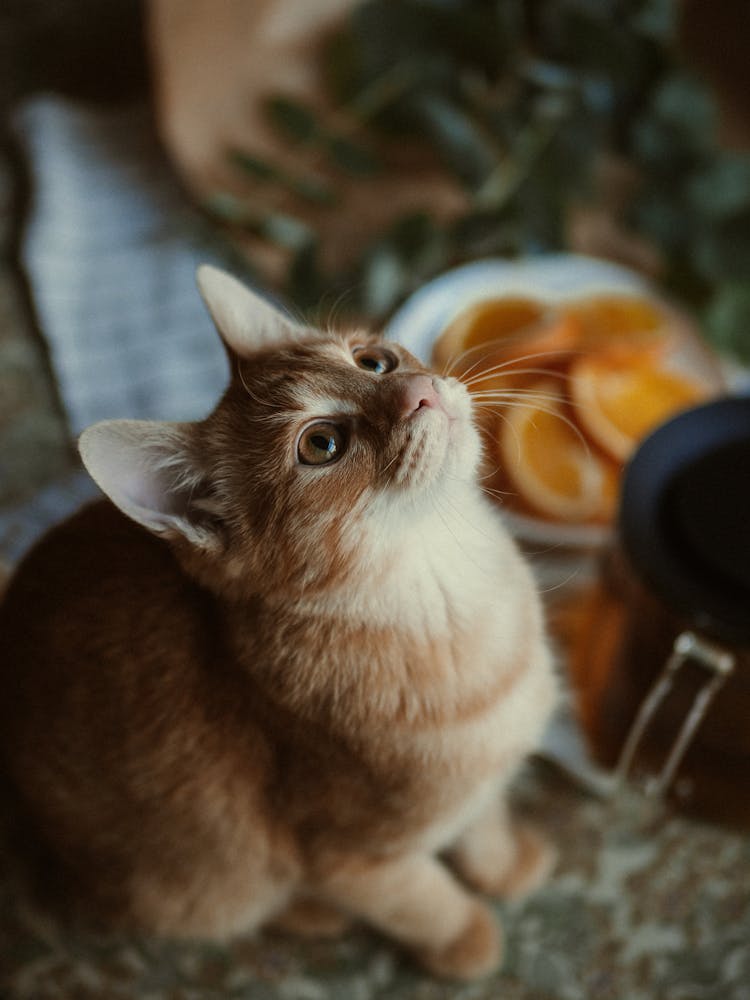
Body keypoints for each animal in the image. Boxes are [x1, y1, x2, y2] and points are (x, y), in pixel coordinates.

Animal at [0, 264, 560, 976]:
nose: (420, 390)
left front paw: (503, 865)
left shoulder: (482, 779)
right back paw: (311, 915)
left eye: (373, 360)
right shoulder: (346, 859)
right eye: (321, 444)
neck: (453, 596)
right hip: (209, 880)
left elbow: (484, 817)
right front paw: (466, 940)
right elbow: (420, 897)